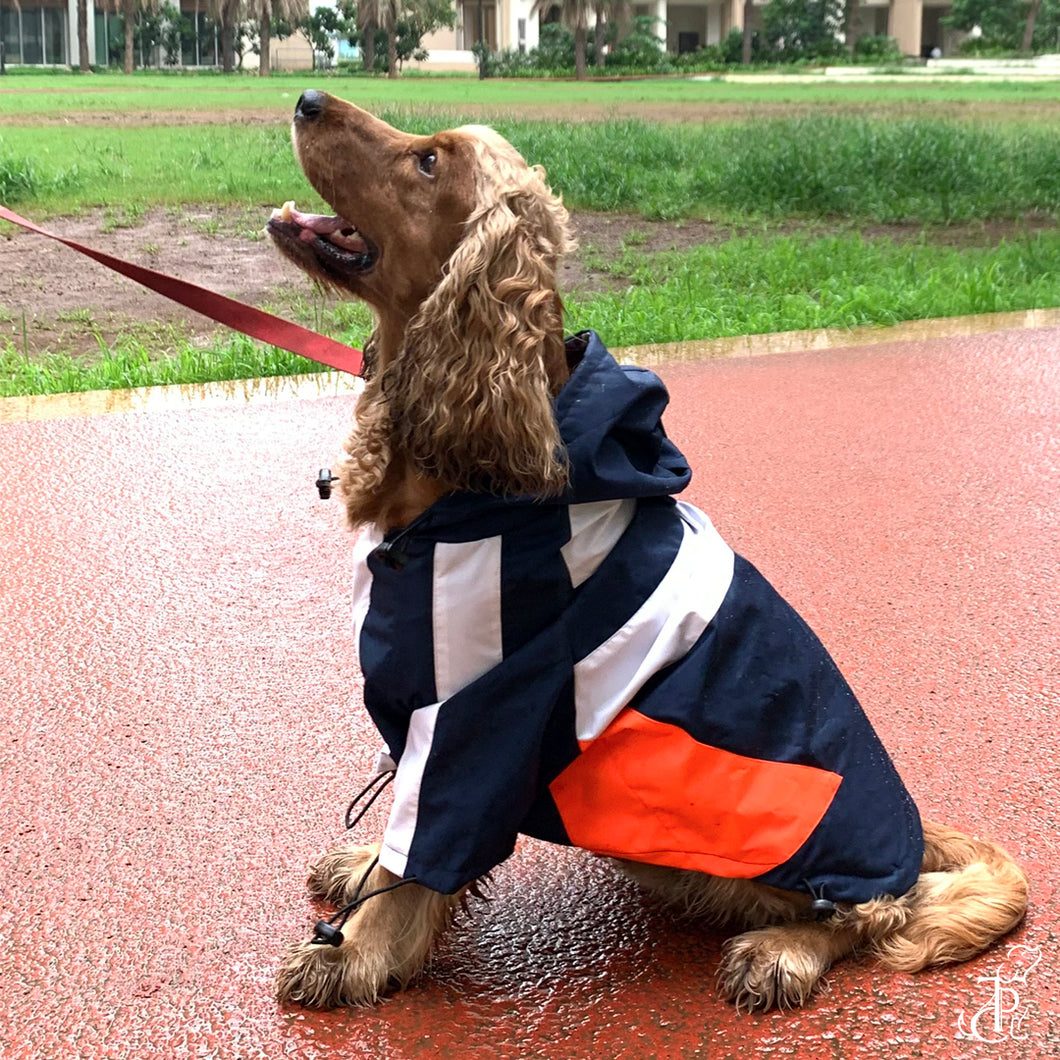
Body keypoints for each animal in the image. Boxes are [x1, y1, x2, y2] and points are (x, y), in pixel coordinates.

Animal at [265, 91, 1026, 1009]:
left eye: (430, 161)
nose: (307, 99)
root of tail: (909, 832)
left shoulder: (478, 712)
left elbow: (416, 857)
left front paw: (354, 954)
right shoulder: (427, 707)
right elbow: (395, 839)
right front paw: (359, 867)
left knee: (877, 912)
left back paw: (782, 952)